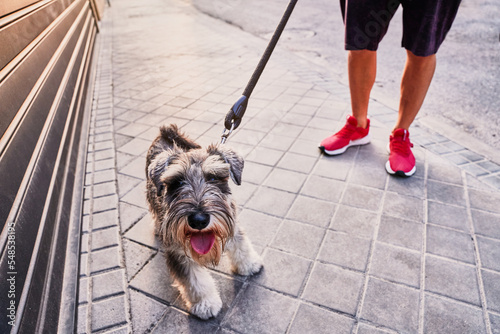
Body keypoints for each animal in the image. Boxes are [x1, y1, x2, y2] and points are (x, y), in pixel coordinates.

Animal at [145, 124, 264, 320]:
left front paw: (249, 264)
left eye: (213, 178)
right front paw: (205, 303)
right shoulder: (178, 252)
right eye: (177, 182)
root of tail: (166, 131)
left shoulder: (232, 225)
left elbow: (241, 245)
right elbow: (194, 279)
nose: (199, 220)